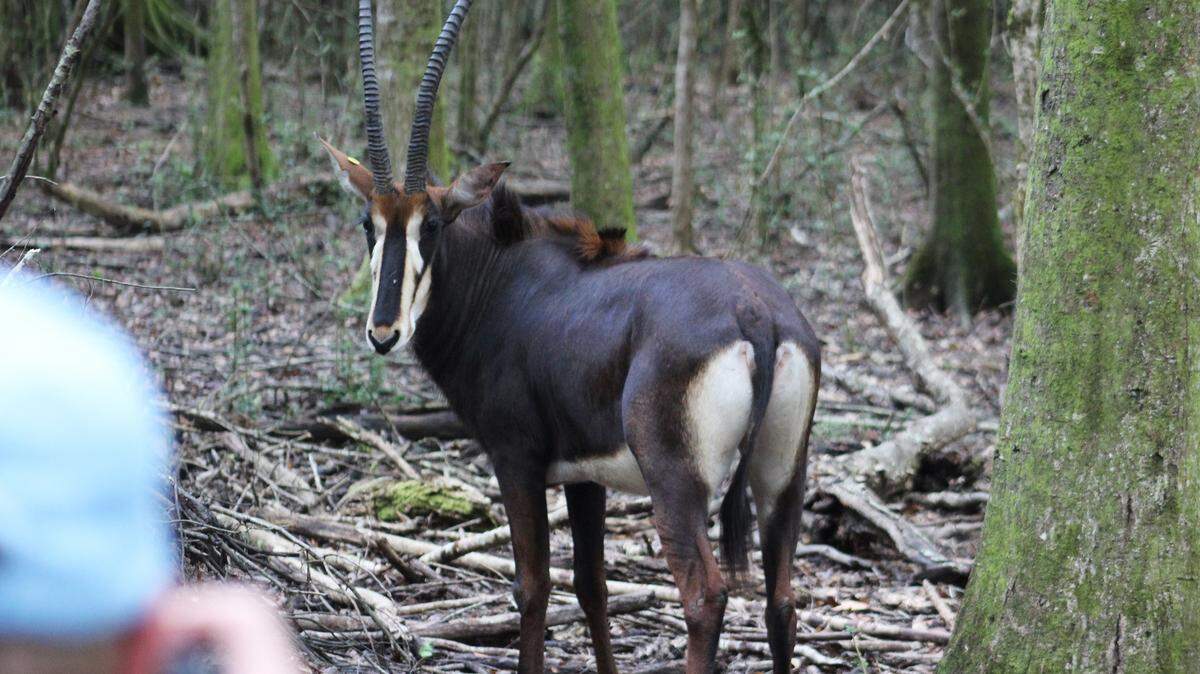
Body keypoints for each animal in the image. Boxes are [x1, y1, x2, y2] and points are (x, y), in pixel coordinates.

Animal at [319, 2, 820, 672]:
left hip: (675, 480)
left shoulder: (516, 459)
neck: (503, 282)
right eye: (368, 224)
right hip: (783, 472)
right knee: (781, 601)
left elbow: (533, 587)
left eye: (434, 225)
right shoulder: (586, 475)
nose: (383, 332)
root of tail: (757, 316)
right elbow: (591, 586)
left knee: (705, 595)